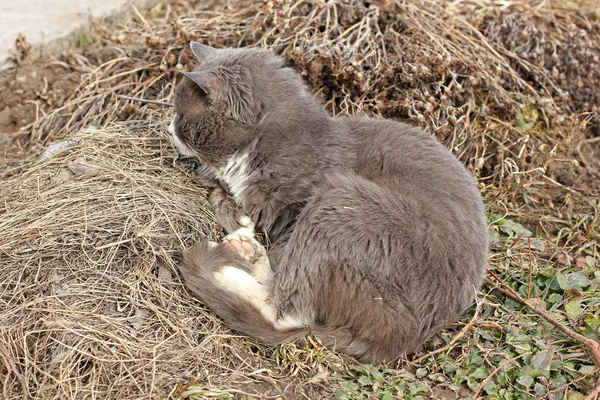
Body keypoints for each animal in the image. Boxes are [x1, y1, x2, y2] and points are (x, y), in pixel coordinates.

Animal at [169, 43, 488, 362]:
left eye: (179, 112)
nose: (169, 127)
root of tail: (399, 343)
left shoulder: (295, 205)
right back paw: (247, 250)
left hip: (341, 205)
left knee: (287, 311)